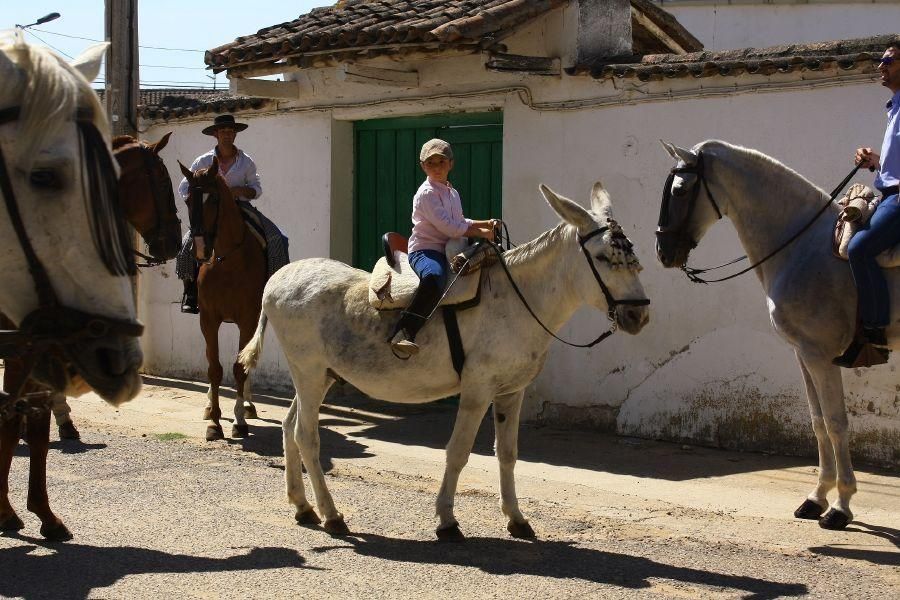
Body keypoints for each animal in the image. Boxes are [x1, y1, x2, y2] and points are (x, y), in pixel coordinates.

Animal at [0, 134, 183, 540]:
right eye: (165, 183)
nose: (176, 243)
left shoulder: (42, 356)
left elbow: (34, 428)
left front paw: (44, 514)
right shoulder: (20, 353)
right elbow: (10, 423)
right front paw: (5, 511)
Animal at [178, 157, 266, 442]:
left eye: (213, 198)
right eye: (187, 199)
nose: (200, 249)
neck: (226, 260)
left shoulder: (248, 320)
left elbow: (240, 367)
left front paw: (239, 420)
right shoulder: (208, 319)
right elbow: (214, 368)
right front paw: (215, 422)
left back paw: (248, 405)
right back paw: (208, 406)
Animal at [239, 182, 648, 540]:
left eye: (634, 258)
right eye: (603, 258)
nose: (638, 316)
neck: (516, 300)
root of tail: (277, 279)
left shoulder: (511, 392)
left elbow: (508, 454)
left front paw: (516, 519)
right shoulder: (477, 391)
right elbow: (458, 452)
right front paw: (447, 521)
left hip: (318, 375)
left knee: (290, 427)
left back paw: (303, 506)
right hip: (308, 373)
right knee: (306, 436)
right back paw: (332, 515)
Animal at [656, 139, 896, 528]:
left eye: (680, 190)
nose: (663, 252)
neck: (802, 246)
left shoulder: (819, 356)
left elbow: (836, 424)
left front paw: (841, 506)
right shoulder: (804, 354)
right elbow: (818, 422)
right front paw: (816, 498)